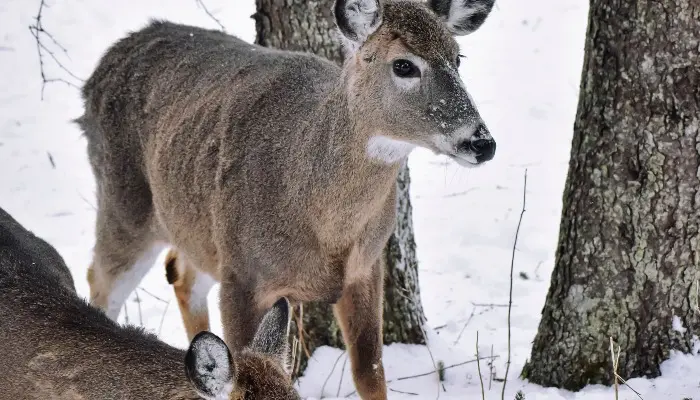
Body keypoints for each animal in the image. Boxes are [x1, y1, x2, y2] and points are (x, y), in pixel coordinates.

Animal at [77, 0, 496, 398]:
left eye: (457, 57)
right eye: (404, 65)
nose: (482, 142)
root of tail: (100, 68)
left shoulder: (366, 266)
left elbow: (370, 373)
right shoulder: (243, 275)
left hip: (196, 224)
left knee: (181, 274)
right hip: (123, 203)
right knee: (101, 280)